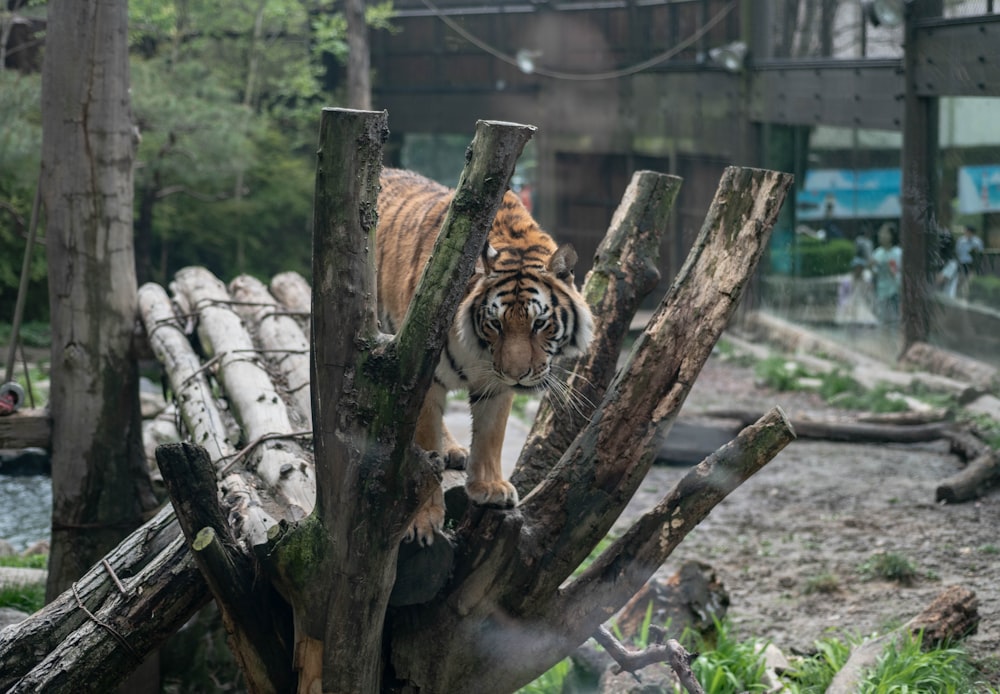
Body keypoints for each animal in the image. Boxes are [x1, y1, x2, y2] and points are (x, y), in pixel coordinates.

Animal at [376, 166, 592, 548]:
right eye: (496, 323)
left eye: (539, 323)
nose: (518, 373)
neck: (479, 350)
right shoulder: (422, 375)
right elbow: (422, 447)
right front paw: (421, 522)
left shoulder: (496, 384)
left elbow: (492, 433)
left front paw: (489, 488)